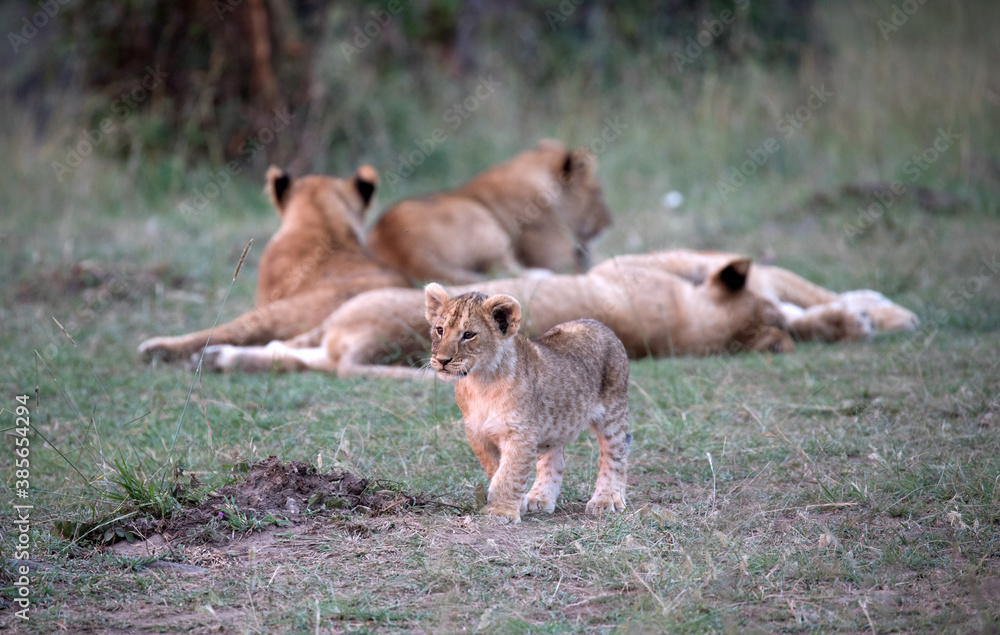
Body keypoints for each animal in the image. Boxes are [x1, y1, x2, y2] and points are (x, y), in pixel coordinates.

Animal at [366, 139, 612, 285]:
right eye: (597, 192)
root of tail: (405, 250)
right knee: (502, 271)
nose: (609, 223)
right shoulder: (556, 255)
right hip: (484, 222)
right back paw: (539, 275)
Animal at [425, 283, 631, 523]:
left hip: (613, 413)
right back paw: (539, 499)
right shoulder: (476, 432)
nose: (441, 360)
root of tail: (599, 324)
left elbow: (509, 473)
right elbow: (495, 469)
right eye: (440, 330)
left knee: (615, 454)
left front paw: (501, 512)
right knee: (554, 461)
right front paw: (519, 502)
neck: (481, 382)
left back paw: (607, 500)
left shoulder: (521, 432)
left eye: (468, 335)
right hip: (553, 425)